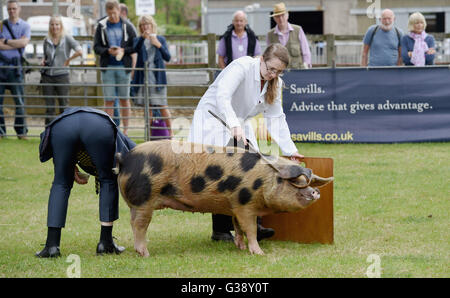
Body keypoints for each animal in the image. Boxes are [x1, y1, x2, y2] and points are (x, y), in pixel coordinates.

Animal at [115, 140, 334, 256]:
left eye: (309, 181)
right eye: (297, 181)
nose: (316, 192)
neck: (263, 180)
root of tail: (125, 158)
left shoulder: (235, 205)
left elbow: (238, 227)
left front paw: (240, 246)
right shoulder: (245, 204)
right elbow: (250, 229)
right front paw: (258, 253)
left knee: (134, 223)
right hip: (144, 199)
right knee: (139, 225)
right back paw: (145, 253)